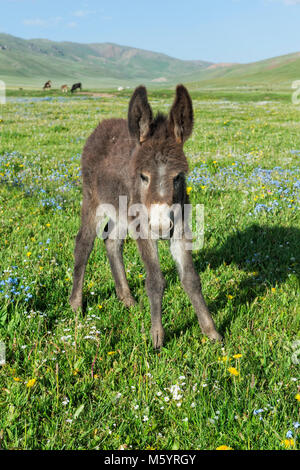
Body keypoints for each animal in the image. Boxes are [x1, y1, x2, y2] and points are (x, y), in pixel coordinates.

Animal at [69, 84, 221, 348]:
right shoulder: (144, 229)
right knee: (84, 245)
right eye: (143, 176)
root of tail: (103, 125)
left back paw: (127, 299)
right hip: (92, 201)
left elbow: (191, 279)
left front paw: (211, 332)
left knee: (111, 241)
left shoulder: (180, 229)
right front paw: (157, 337)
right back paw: (76, 306)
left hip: (121, 210)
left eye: (178, 177)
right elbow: (155, 280)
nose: (160, 227)